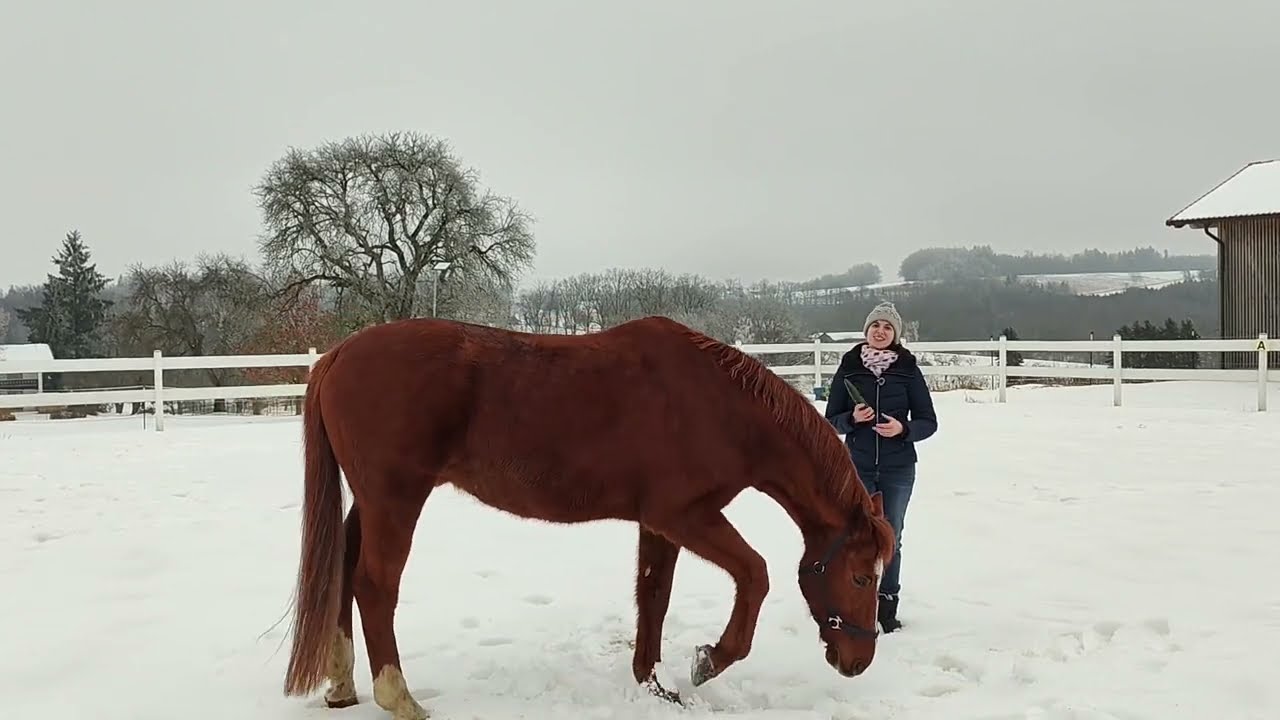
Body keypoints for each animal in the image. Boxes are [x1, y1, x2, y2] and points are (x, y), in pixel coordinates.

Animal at [281, 315, 896, 720]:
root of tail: (337, 355)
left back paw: (341, 684)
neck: (720, 407)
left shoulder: (659, 524)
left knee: (343, 571)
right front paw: (710, 660)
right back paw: (399, 698)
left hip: (370, 502)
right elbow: (755, 573)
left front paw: (652, 685)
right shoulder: (685, 516)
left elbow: (654, 597)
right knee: (374, 585)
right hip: (396, 499)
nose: (859, 661)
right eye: (861, 577)